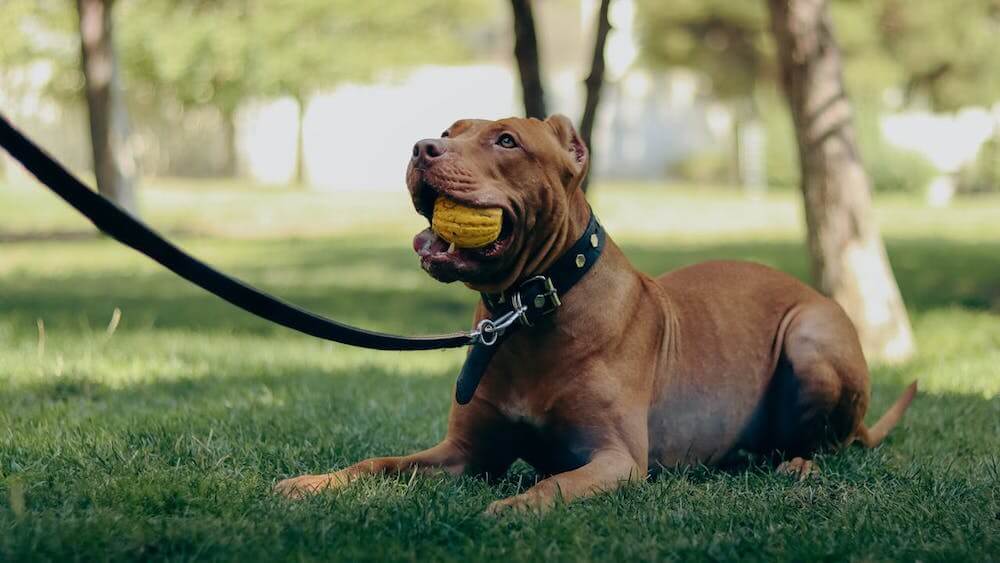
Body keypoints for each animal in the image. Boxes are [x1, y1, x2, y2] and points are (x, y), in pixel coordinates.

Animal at [274, 112, 916, 512]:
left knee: (833, 442)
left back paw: (799, 466)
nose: (421, 148)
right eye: (446, 131)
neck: (528, 310)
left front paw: (513, 507)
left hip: (811, 337)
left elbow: (553, 486)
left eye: (506, 141)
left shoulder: (615, 460)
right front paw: (314, 482)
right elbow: (378, 463)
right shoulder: (463, 454)